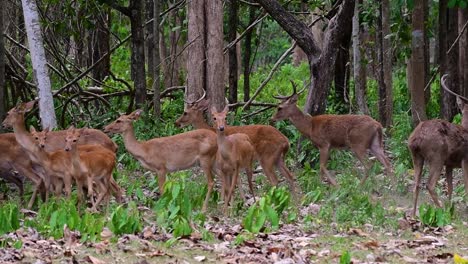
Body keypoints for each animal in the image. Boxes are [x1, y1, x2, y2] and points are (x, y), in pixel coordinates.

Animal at [408, 73, 468, 216]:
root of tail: (415, 139)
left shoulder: (450, 164)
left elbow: (450, 187)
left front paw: (450, 208)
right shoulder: (465, 159)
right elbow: (466, 185)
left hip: (416, 156)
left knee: (416, 185)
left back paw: (413, 215)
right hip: (437, 156)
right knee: (429, 184)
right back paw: (441, 210)